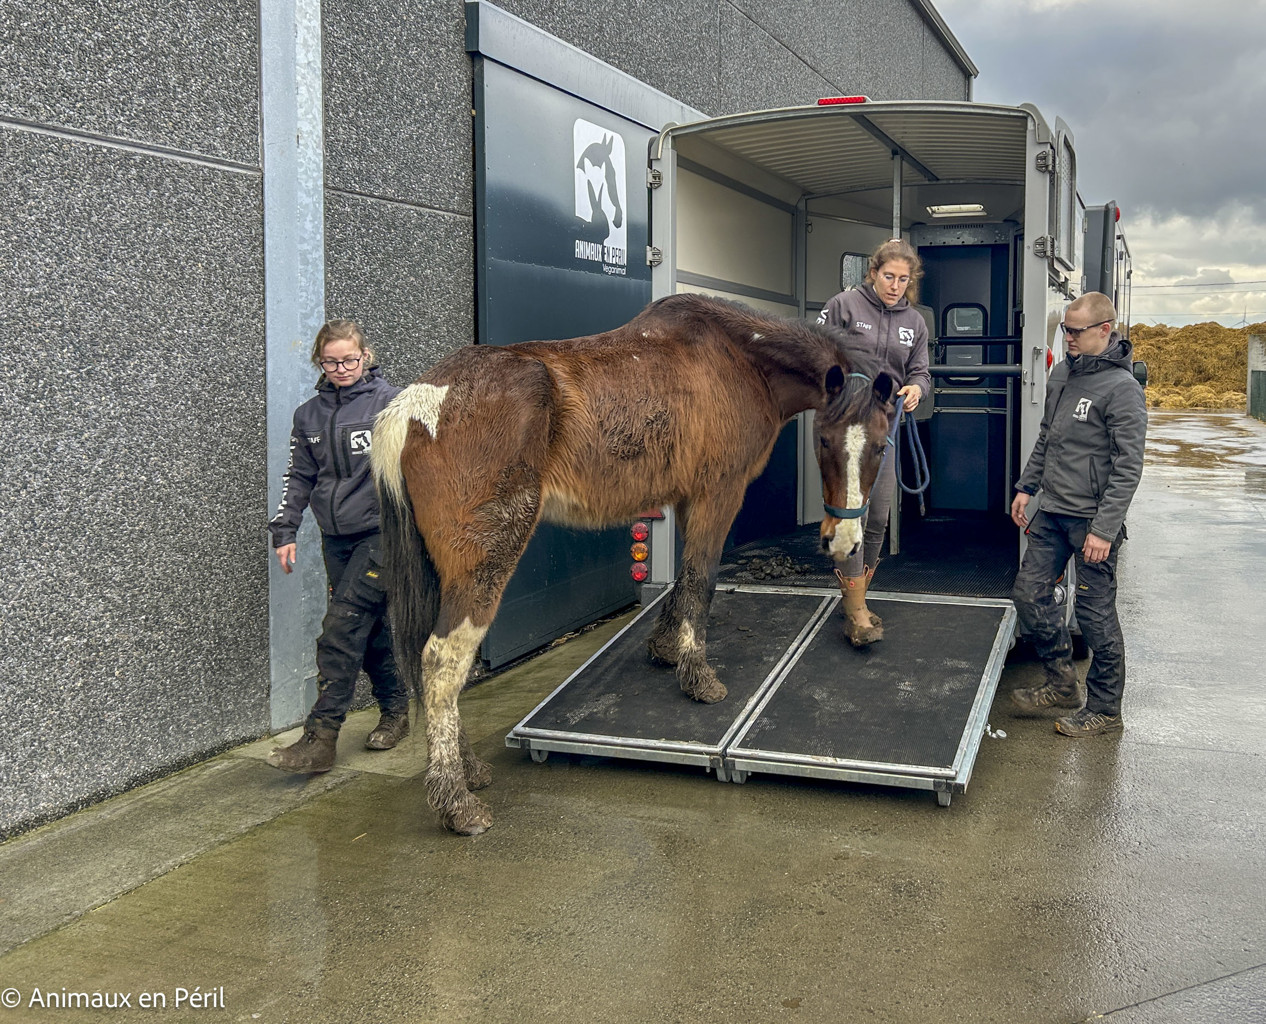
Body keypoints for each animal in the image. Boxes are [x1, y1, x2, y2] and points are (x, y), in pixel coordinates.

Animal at [371, 294, 898, 835]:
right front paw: (697, 678)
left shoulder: (687, 498)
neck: (739, 358)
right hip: (485, 563)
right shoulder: (718, 494)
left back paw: (469, 769)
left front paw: (665, 648)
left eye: (882, 446)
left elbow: (683, 579)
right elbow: (702, 580)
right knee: (443, 662)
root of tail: (413, 407)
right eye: (825, 441)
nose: (844, 542)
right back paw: (456, 802)